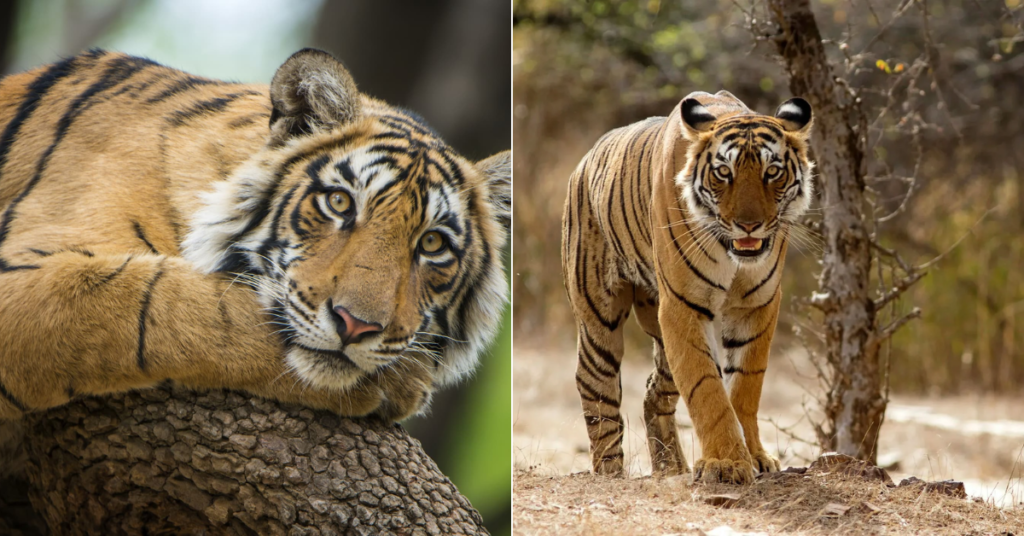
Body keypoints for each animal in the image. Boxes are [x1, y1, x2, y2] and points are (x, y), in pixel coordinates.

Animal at [561, 90, 815, 483]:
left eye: (772, 172)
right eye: (724, 173)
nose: (749, 225)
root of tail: (585, 160)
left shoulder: (757, 304)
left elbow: (745, 386)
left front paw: (754, 456)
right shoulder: (683, 306)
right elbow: (706, 387)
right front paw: (726, 463)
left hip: (660, 338)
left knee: (654, 394)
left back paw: (670, 467)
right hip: (598, 320)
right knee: (596, 389)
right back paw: (610, 472)